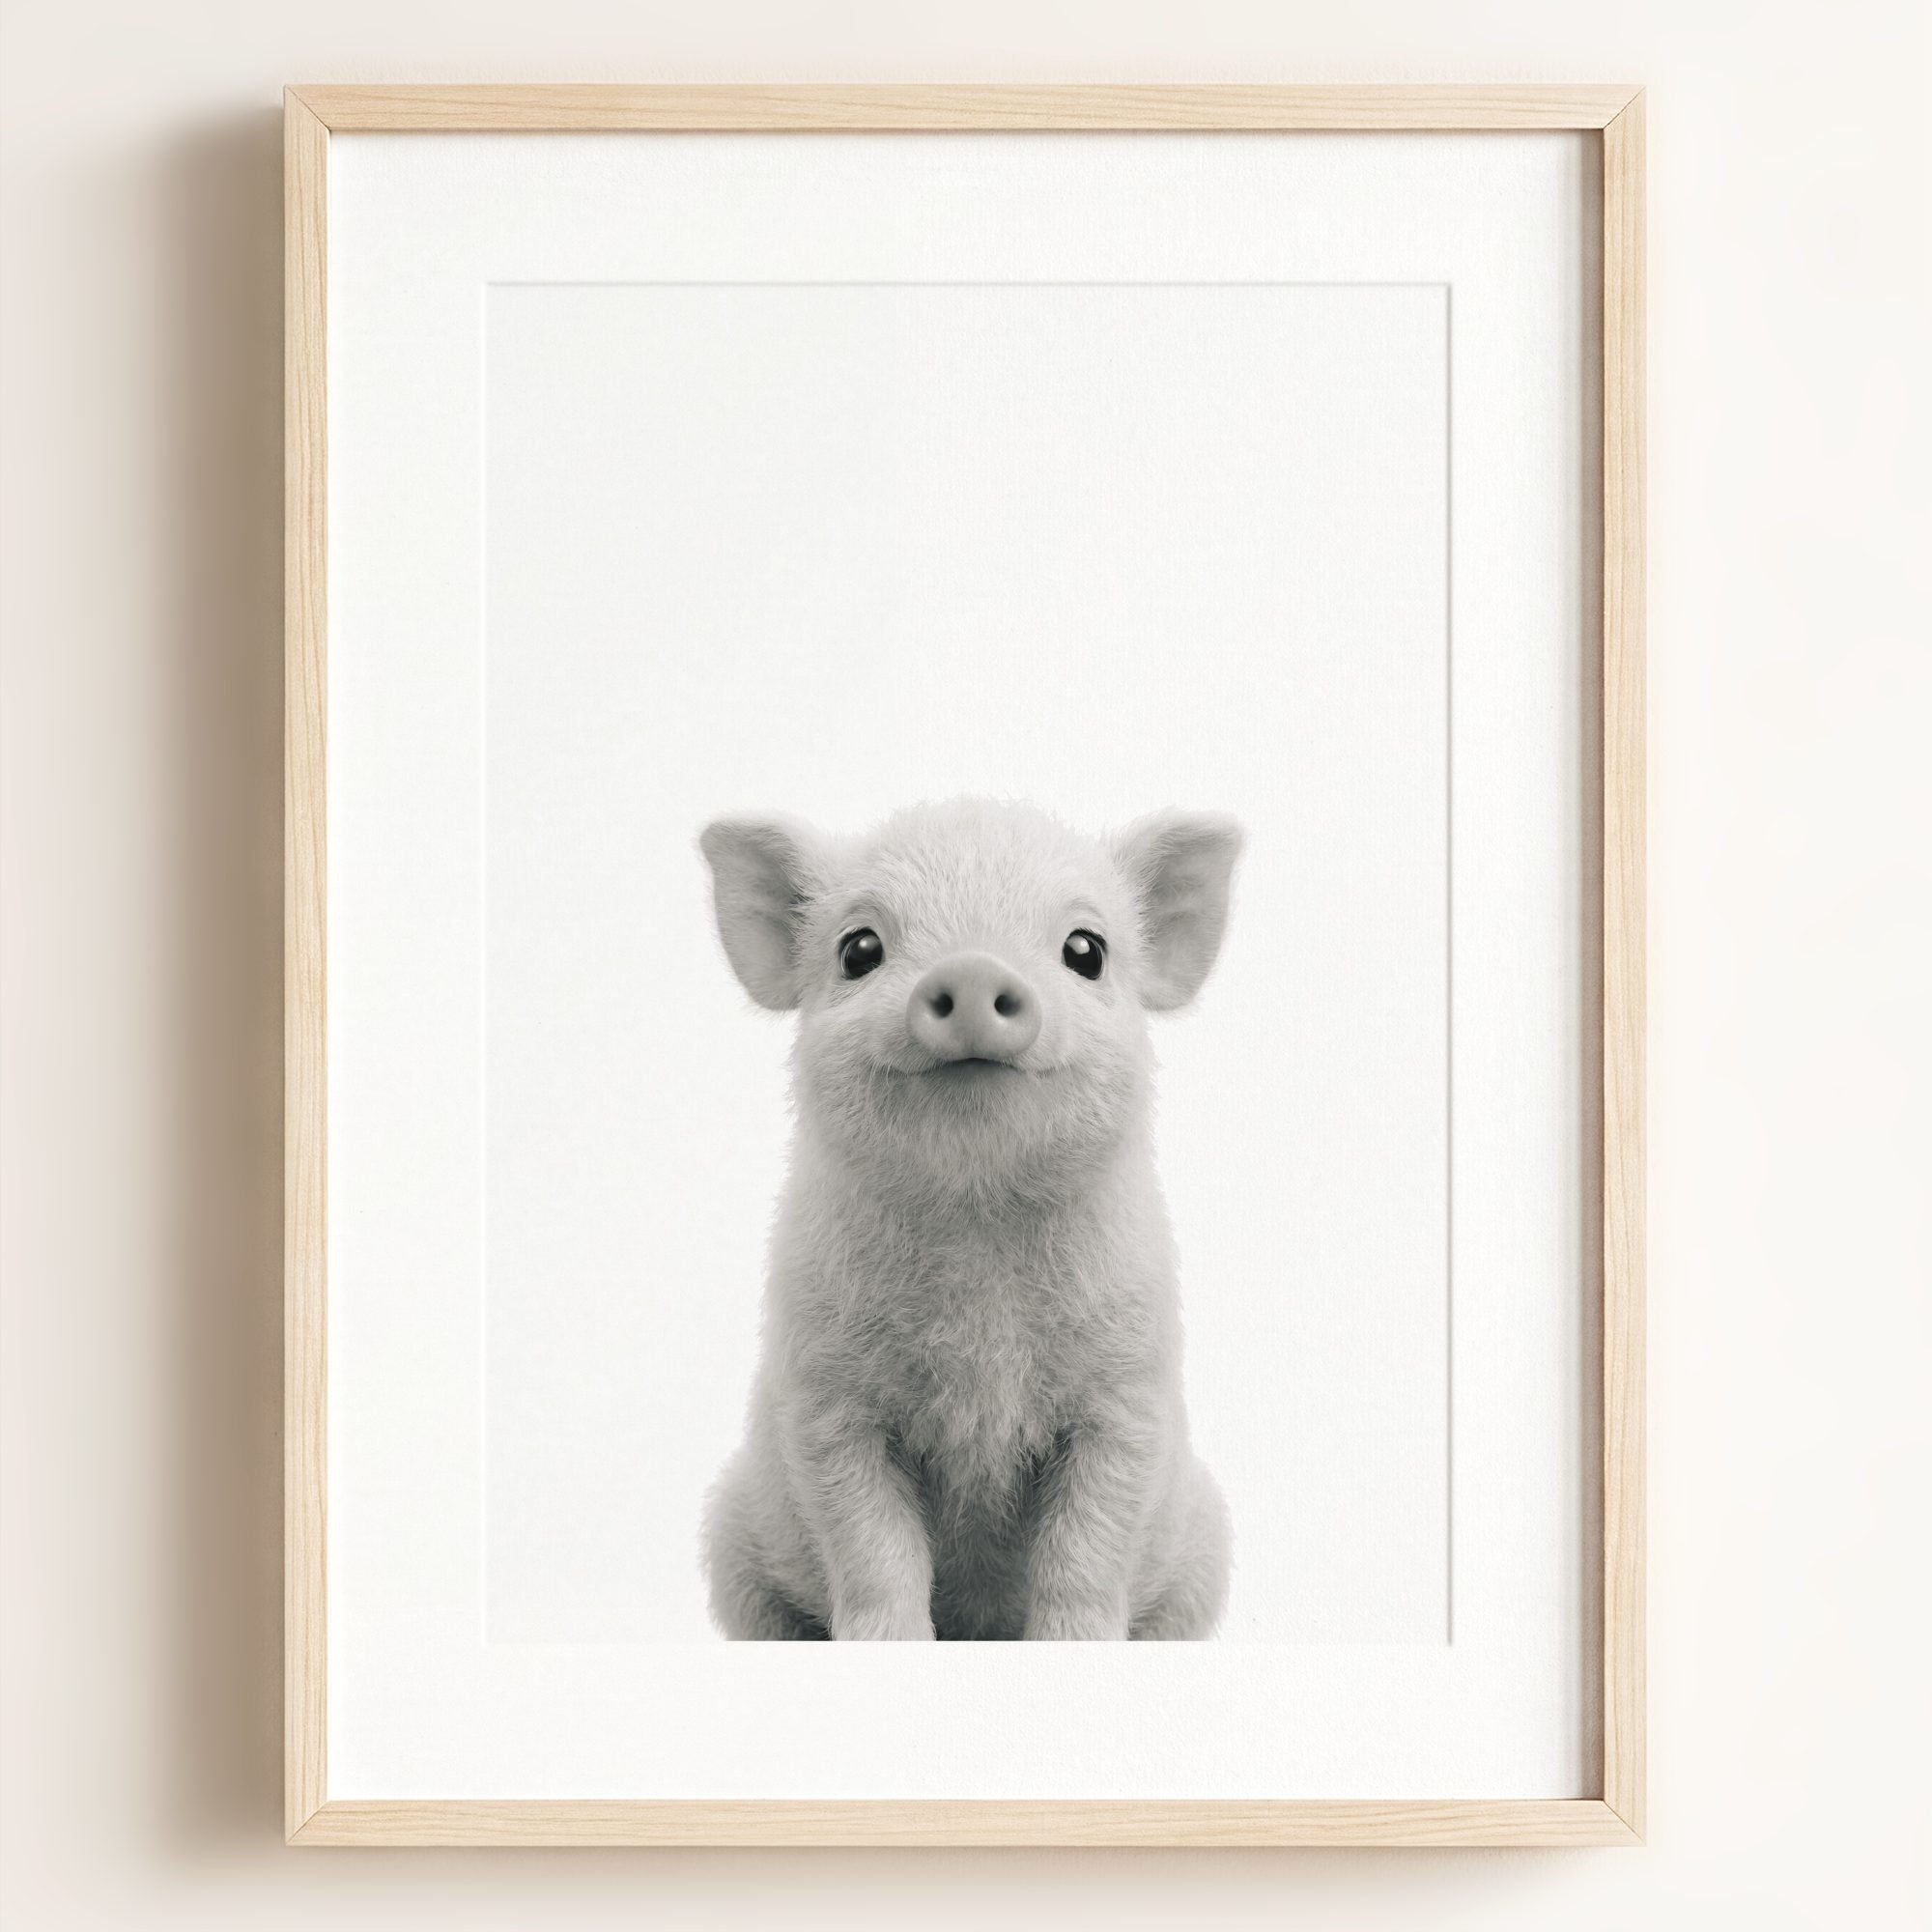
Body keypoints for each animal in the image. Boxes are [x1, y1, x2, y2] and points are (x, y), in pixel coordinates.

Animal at [698, 797, 1240, 1640]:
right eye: (858, 949)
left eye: (1086, 951)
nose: (974, 967)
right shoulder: (825, 1399)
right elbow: (874, 1550)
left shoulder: (1128, 1393)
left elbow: (1086, 1553)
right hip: (732, 1546)